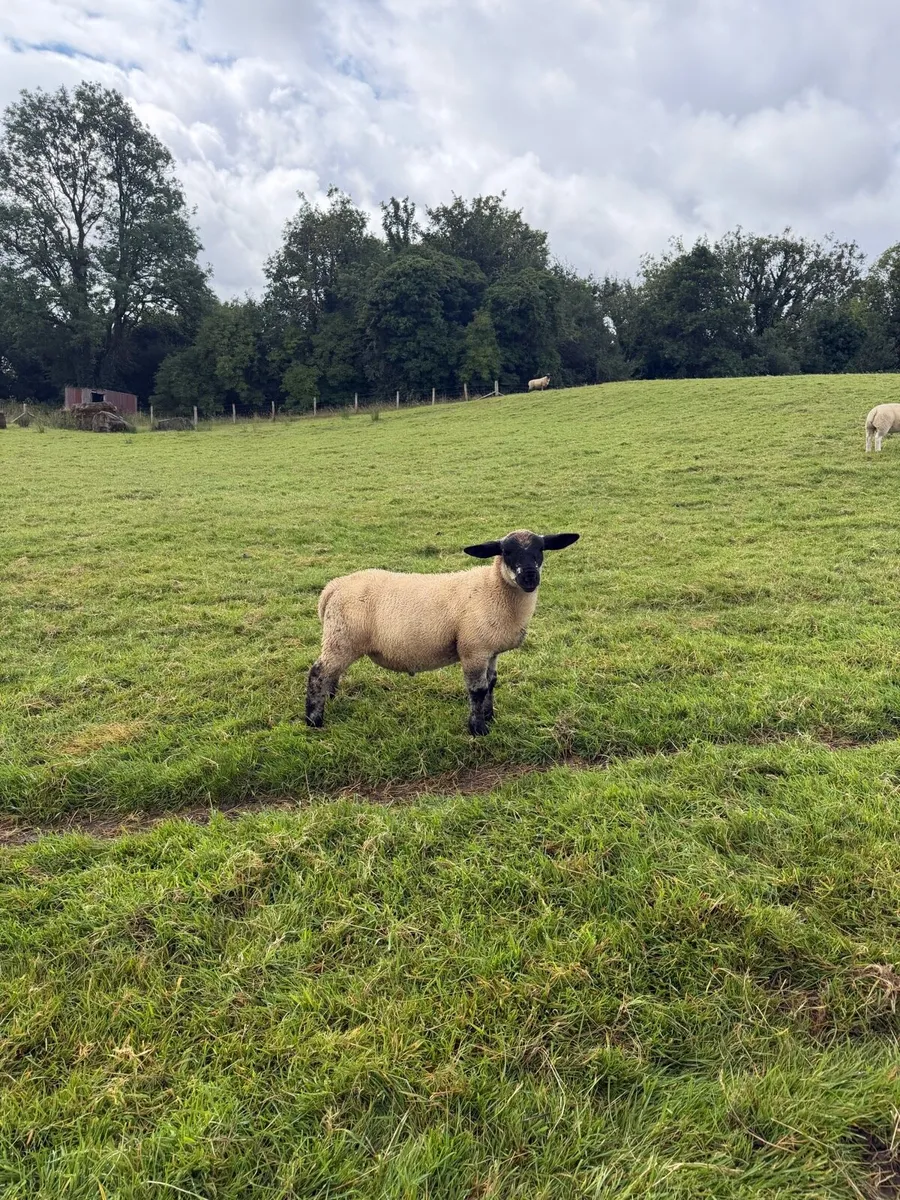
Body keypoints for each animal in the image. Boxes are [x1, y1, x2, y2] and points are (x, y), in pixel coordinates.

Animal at [305, 529, 580, 735]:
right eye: (506, 552)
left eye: (541, 549)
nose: (530, 577)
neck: (492, 588)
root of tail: (333, 587)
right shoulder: (473, 649)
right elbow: (477, 690)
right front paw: (478, 729)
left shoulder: (490, 650)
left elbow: (491, 683)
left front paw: (490, 716)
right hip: (341, 637)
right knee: (318, 673)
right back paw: (314, 720)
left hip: (340, 640)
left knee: (331, 673)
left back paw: (329, 700)